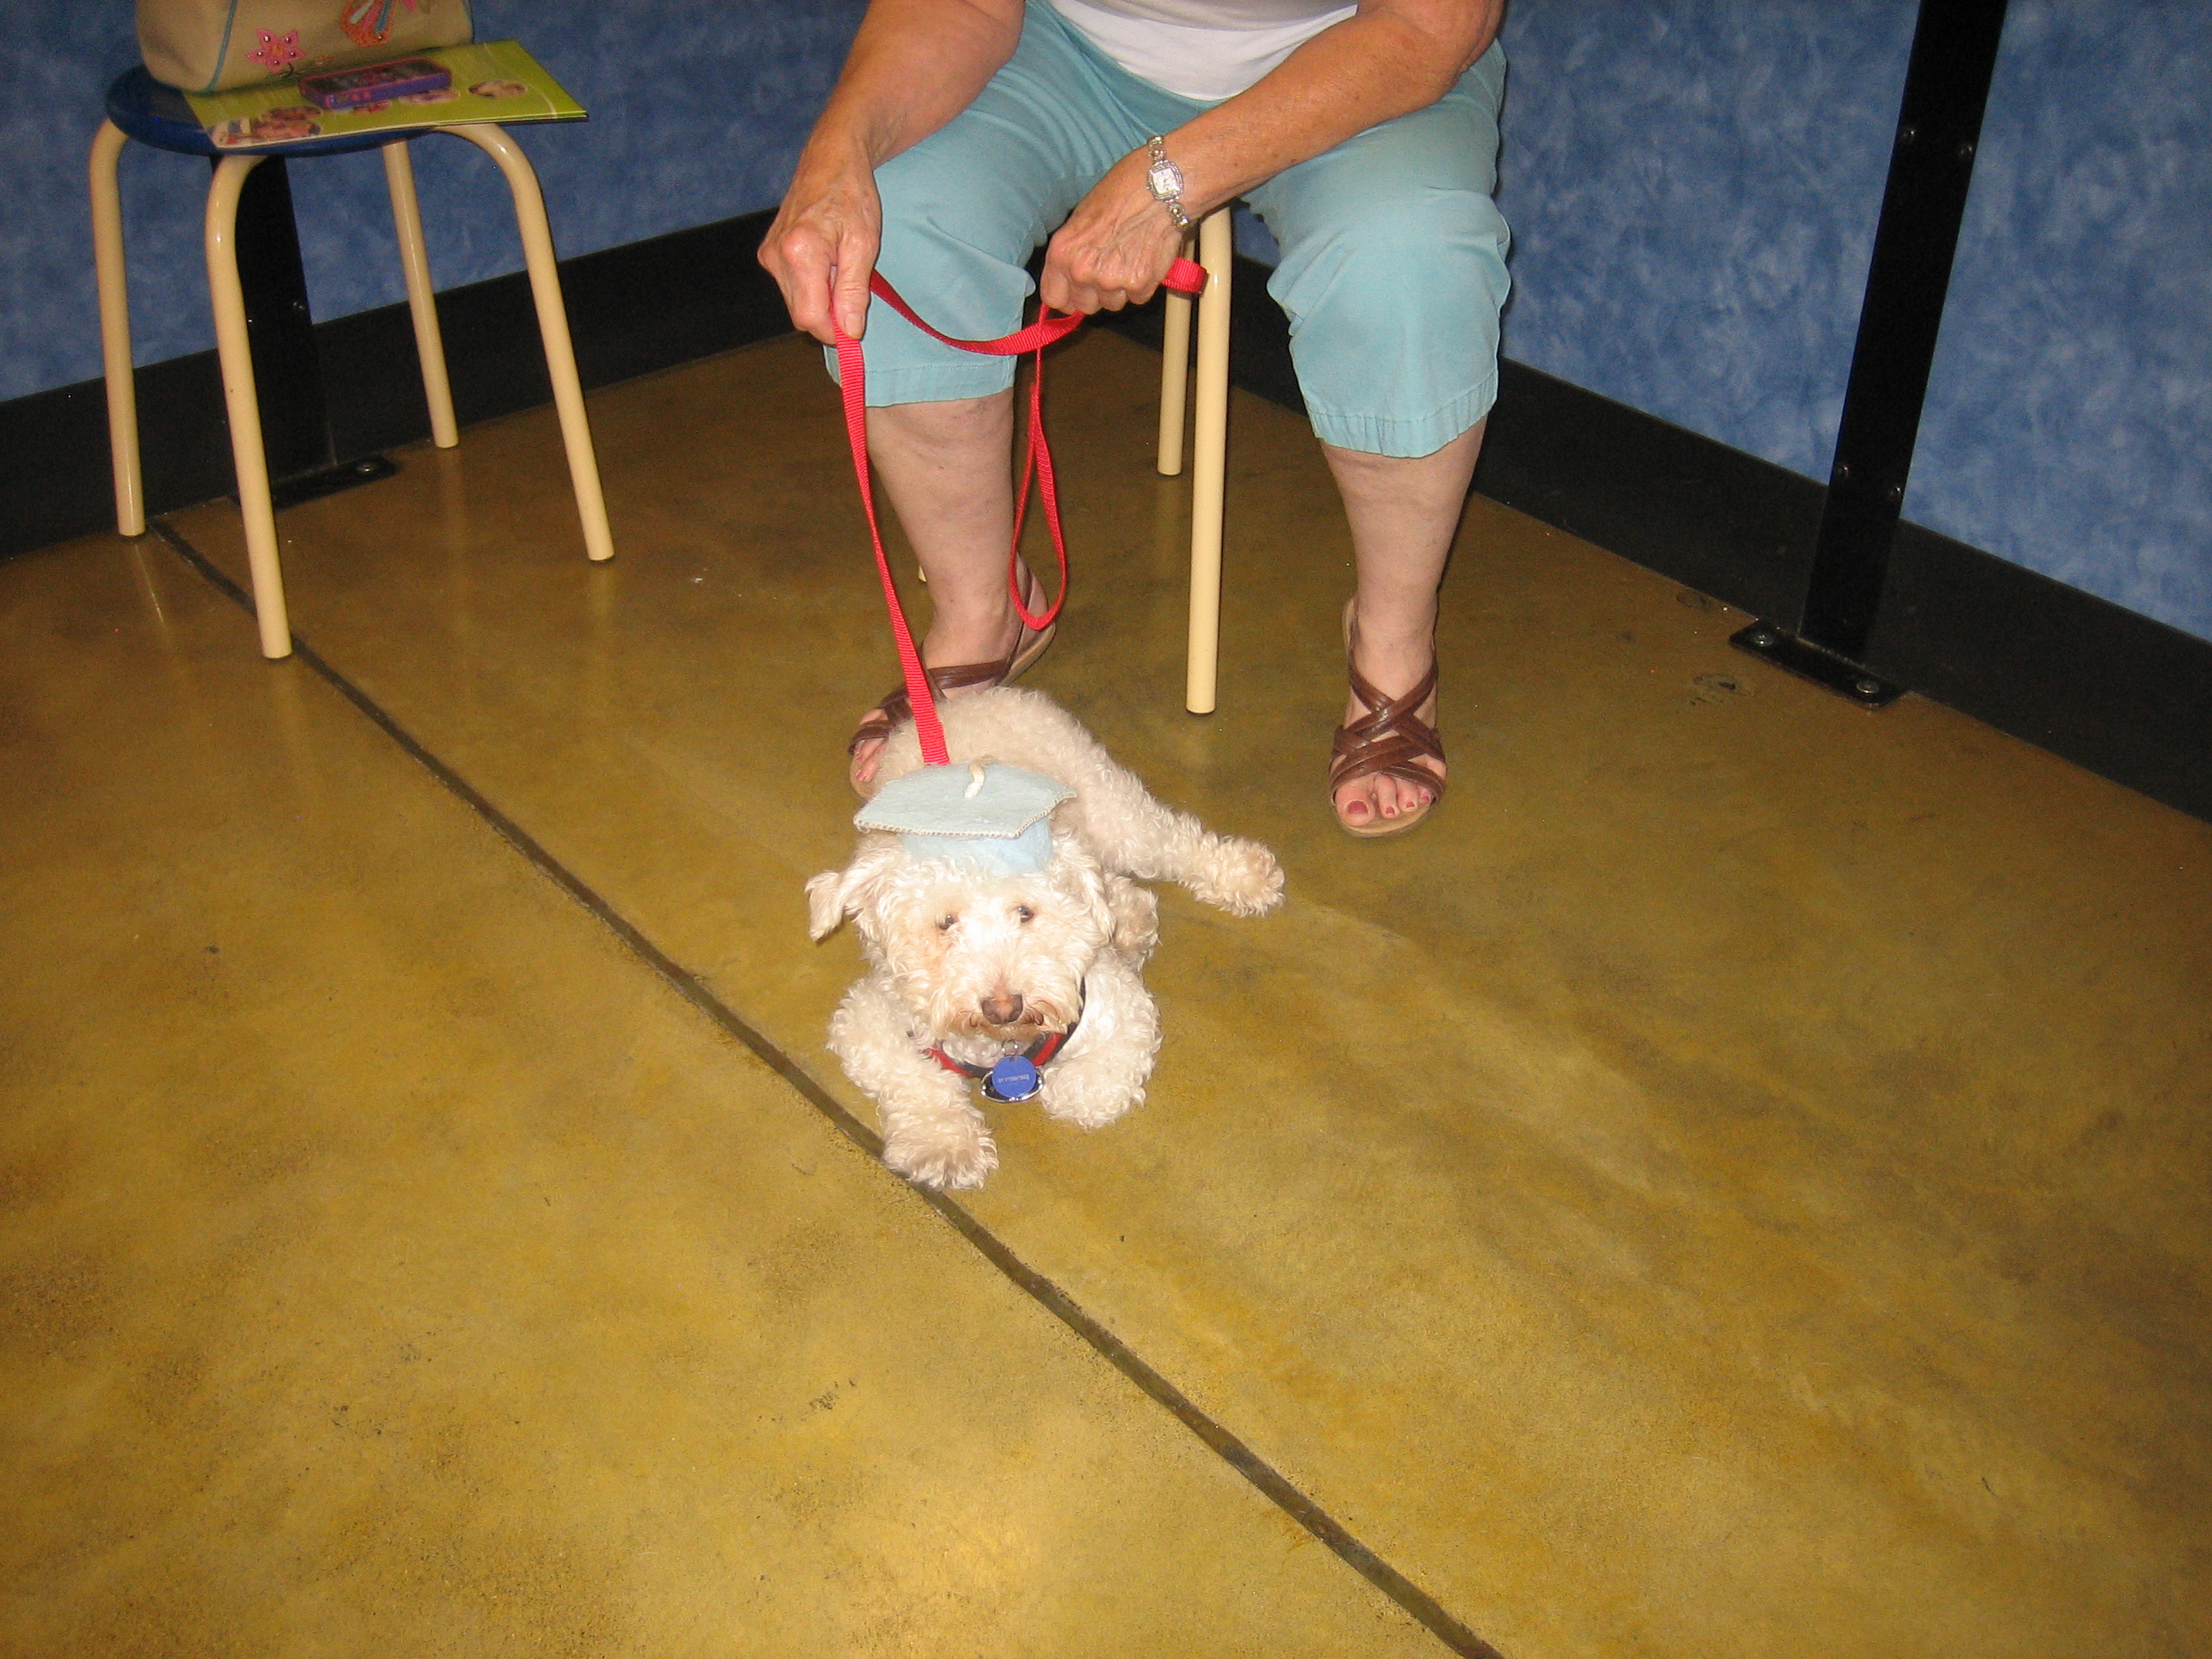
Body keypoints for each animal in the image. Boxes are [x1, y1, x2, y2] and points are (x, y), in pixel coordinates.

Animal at [807, 687, 1284, 1189]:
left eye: (1025, 911)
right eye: (945, 922)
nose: (1003, 1007)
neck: (1004, 1046)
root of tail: (956, 703)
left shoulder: (1122, 1008)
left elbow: (1090, 1087)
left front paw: (1065, 1090)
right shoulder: (866, 1021)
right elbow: (916, 1080)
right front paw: (944, 1144)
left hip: (1112, 810)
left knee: (1175, 842)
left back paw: (1243, 876)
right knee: (1113, 884)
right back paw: (1128, 921)